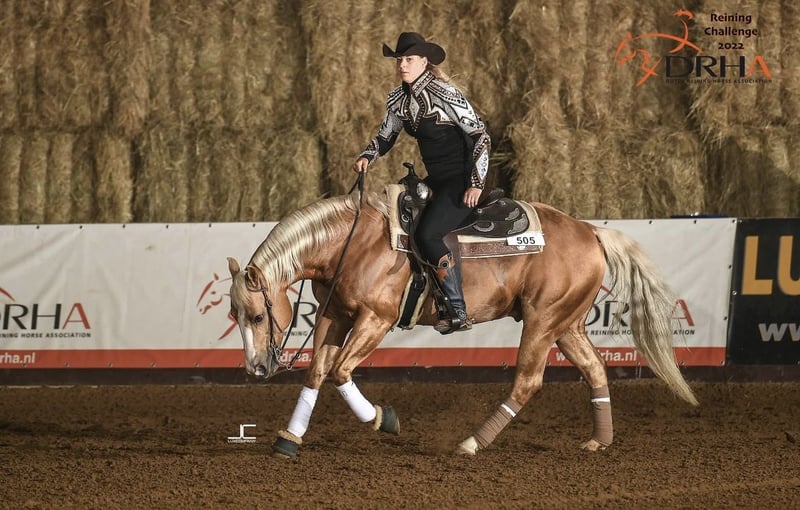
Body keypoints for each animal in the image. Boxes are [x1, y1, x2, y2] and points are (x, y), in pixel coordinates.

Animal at [227, 189, 697, 458]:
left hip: (543, 321)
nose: (256, 368)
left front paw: (384, 419)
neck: (353, 243)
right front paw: (289, 439)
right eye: (233, 315)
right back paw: (600, 440)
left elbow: (341, 371)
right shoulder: (335, 317)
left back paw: (472, 443)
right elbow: (317, 373)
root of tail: (591, 231)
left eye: (257, 315)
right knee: (595, 369)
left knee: (527, 381)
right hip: (567, 324)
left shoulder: (375, 320)